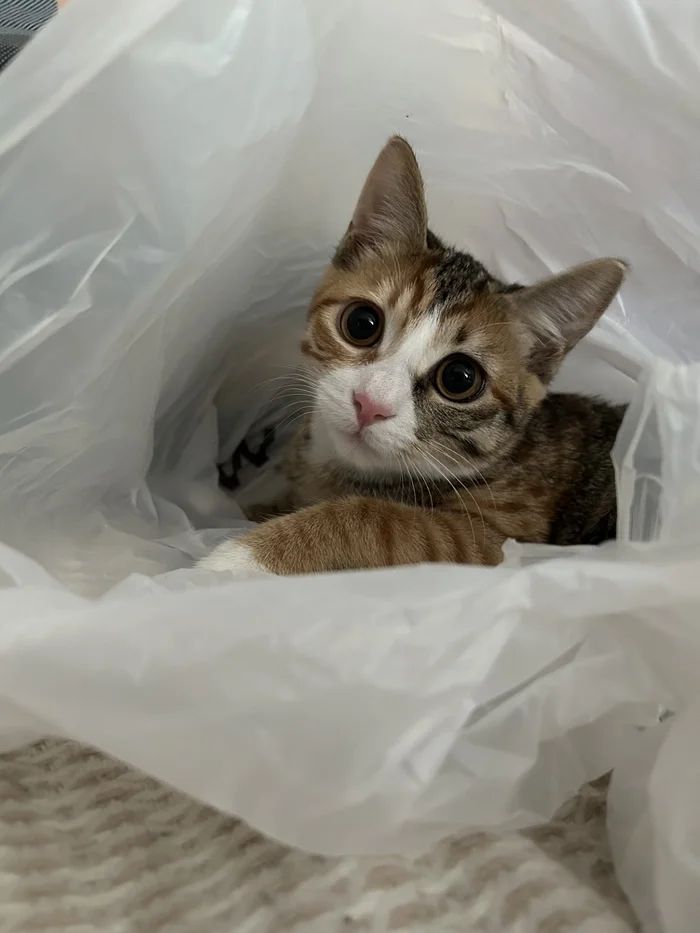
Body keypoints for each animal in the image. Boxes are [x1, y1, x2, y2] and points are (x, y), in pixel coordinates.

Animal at [200, 137, 628, 576]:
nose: (369, 404)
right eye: (361, 324)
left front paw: (239, 557)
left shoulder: (495, 537)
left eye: (459, 378)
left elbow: (376, 519)